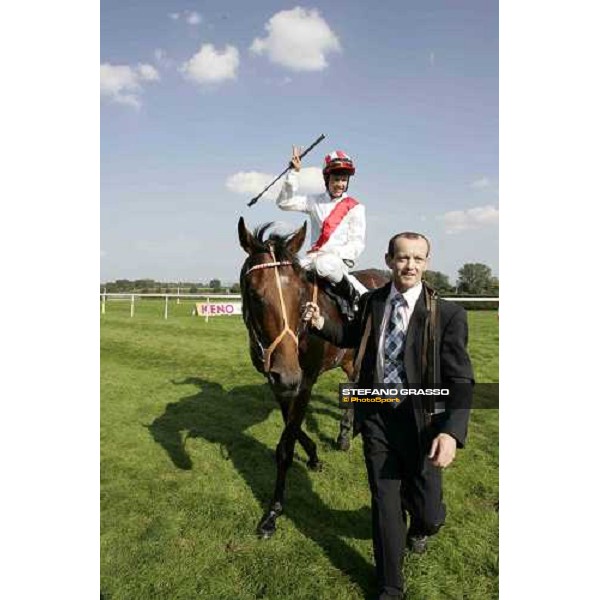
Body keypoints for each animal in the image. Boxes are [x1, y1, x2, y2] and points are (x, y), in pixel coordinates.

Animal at [237, 218, 386, 536]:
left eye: (300, 294)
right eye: (254, 295)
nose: (289, 372)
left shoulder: (304, 382)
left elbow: (286, 445)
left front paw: (273, 511)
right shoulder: (279, 383)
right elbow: (292, 429)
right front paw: (314, 456)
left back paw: (346, 434)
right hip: (348, 360)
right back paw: (344, 434)